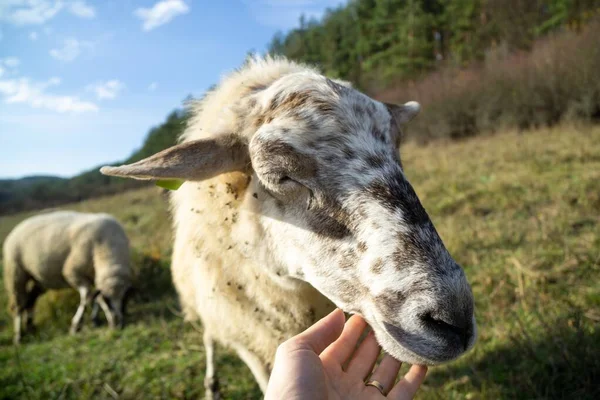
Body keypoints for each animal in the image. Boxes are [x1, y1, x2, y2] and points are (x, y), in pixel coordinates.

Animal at [4, 211, 131, 342]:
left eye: (124, 298)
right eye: (108, 300)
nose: (119, 324)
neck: (107, 249)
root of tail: (17, 228)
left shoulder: (95, 277)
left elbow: (95, 298)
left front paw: (95, 320)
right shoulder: (72, 272)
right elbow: (86, 297)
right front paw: (76, 326)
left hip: (38, 279)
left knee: (30, 301)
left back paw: (30, 328)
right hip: (15, 273)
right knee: (18, 304)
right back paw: (18, 336)